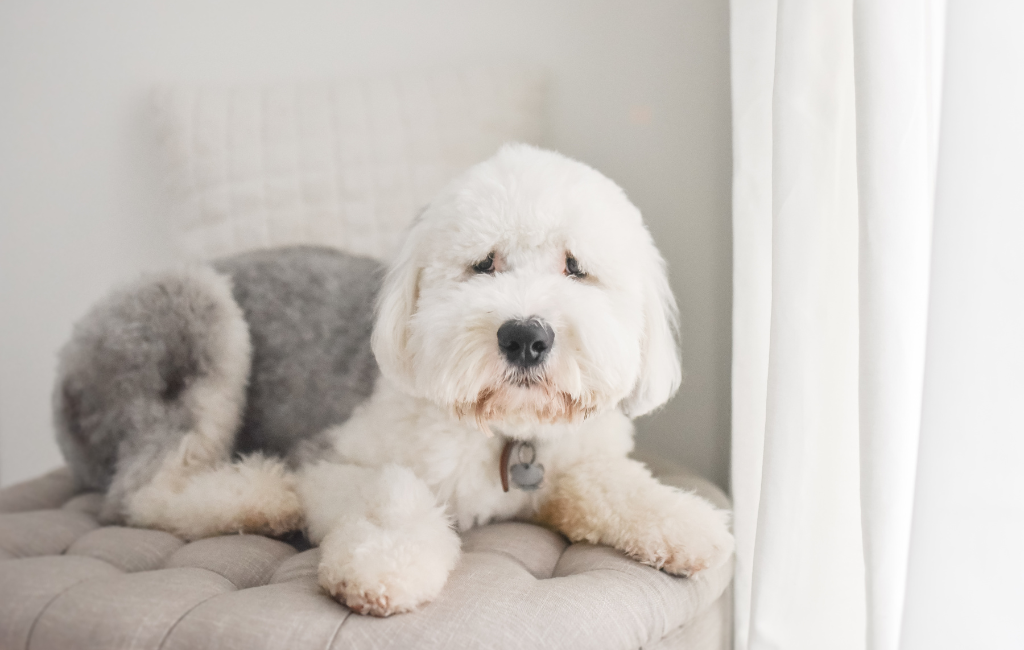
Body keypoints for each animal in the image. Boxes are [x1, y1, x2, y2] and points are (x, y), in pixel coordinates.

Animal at [56, 145, 733, 618]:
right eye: (483, 264)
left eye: (576, 268)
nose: (525, 336)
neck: (501, 430)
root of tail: (65, 370)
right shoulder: (329, 459)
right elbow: (392, 491)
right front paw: (383, 566)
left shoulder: (576, 459)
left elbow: (611, 484)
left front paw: (688, 523)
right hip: (192, 316)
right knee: (141, 492)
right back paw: (260, 496)